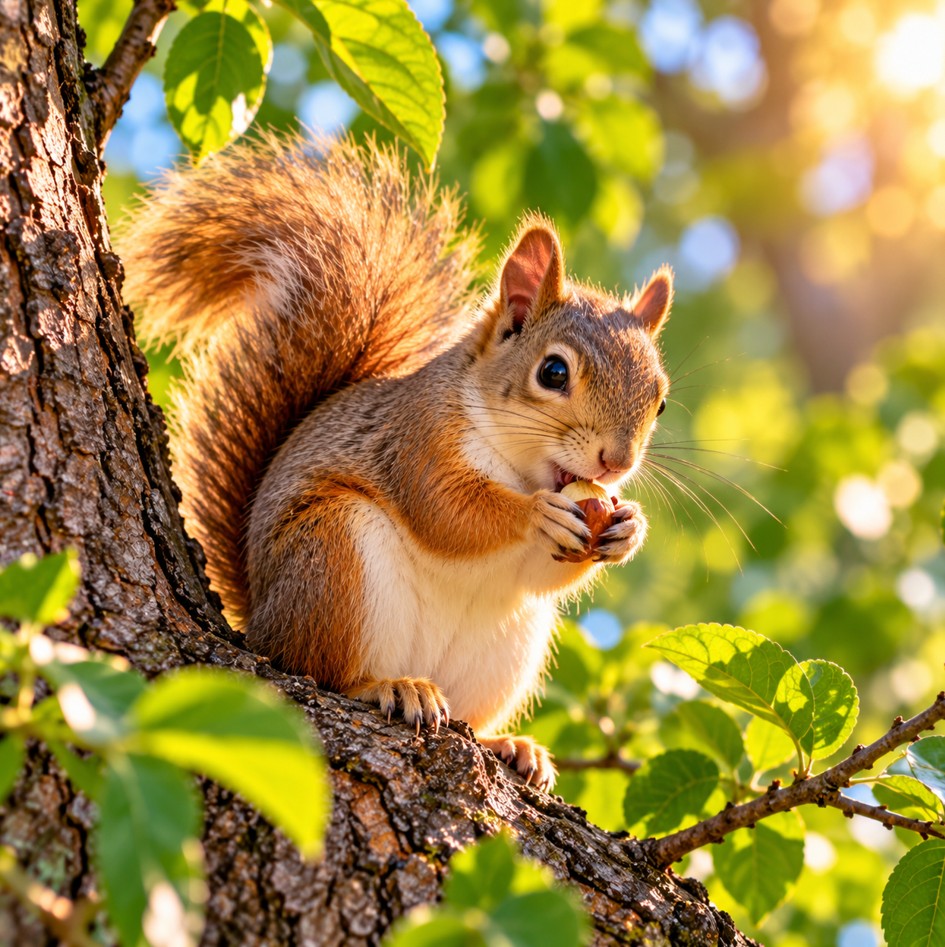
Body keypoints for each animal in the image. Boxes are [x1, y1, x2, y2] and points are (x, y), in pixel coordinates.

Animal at [120, 135, 673, 790]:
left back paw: (510, 745)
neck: (519, 465)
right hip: (332, 554)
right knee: (321, 670)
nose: (615, 462)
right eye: (554, 372)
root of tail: (260, 621)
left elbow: (542, 573)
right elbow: (447, 511)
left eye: (660, 400)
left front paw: (628, 528)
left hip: (509, 643)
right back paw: (388, 686)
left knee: (471, 715)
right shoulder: (416, 441)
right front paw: (536, 514)